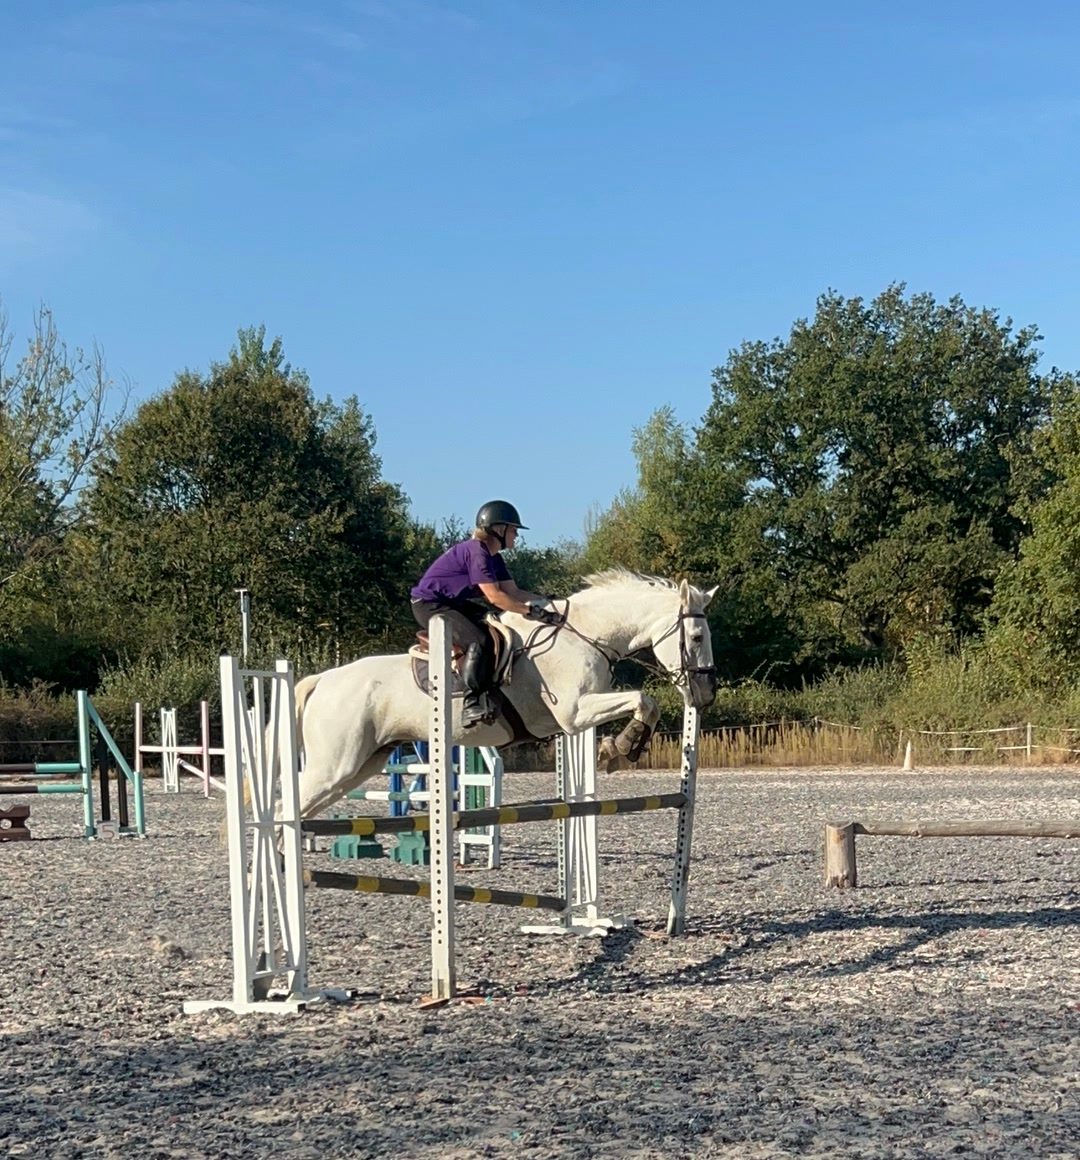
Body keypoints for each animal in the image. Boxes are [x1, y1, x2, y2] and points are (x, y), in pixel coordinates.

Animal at [292, 568, 718, 819]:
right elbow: (644, 699)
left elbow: (648, 703)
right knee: (287, 808)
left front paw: (622, 748)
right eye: (697, 637)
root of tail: (324, 679)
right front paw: (620, 747)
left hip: (363, 764)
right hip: (335, 765)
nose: (706, 694)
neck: (584, 635)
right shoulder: (575, 713)